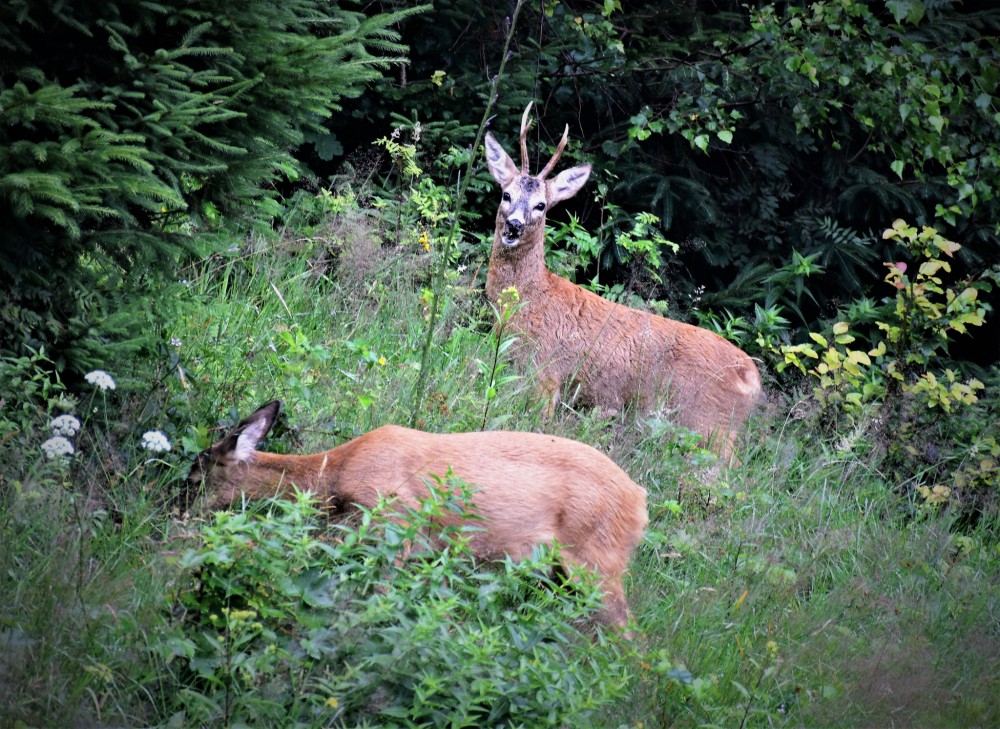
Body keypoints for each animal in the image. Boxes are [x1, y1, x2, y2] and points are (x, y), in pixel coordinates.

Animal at [189, 400, 648, 628]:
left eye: (195, 475)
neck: (337, 475)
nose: (185, 518)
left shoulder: (395, 526)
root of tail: (640, 501)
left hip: (595, 561)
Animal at [482, 102, 756, 456]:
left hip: (709, 424)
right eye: (506, 195)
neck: (531, 299)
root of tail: (751, 375)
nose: (514, 226)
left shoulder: (547, 371)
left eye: (541, 205)